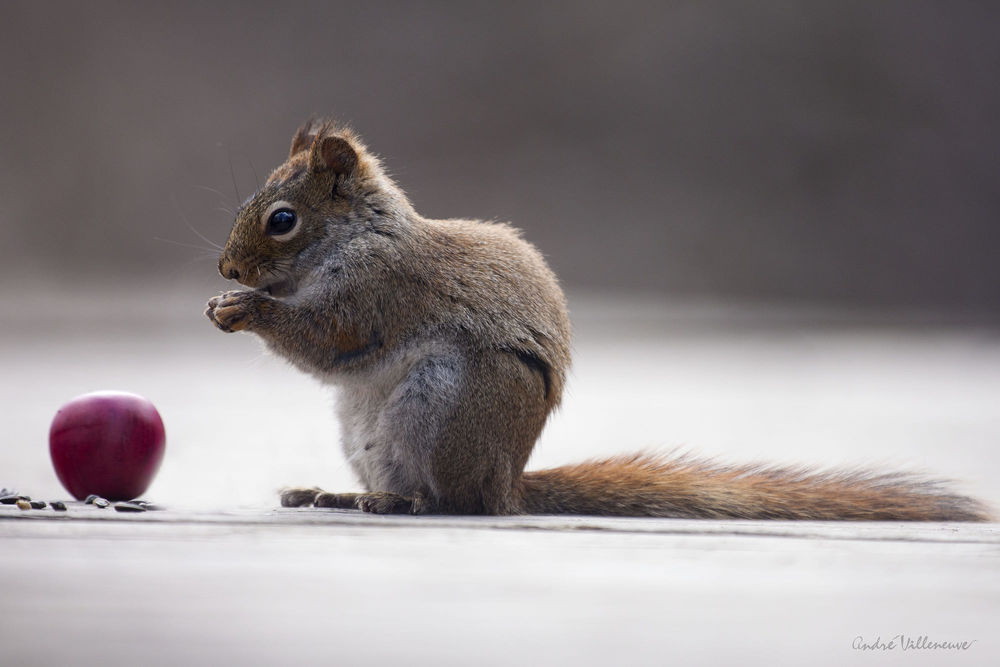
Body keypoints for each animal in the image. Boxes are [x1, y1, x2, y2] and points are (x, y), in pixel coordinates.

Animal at [205, 120, 990, 521]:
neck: (359, 236)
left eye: (282, 220)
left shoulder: (381, 292)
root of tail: (509, 481)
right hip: (367, 431)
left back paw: (403, 502)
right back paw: (337, 491)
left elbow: (329, 338)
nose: (227, 271)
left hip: (443, 407)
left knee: (456, 500)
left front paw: (247, 310)